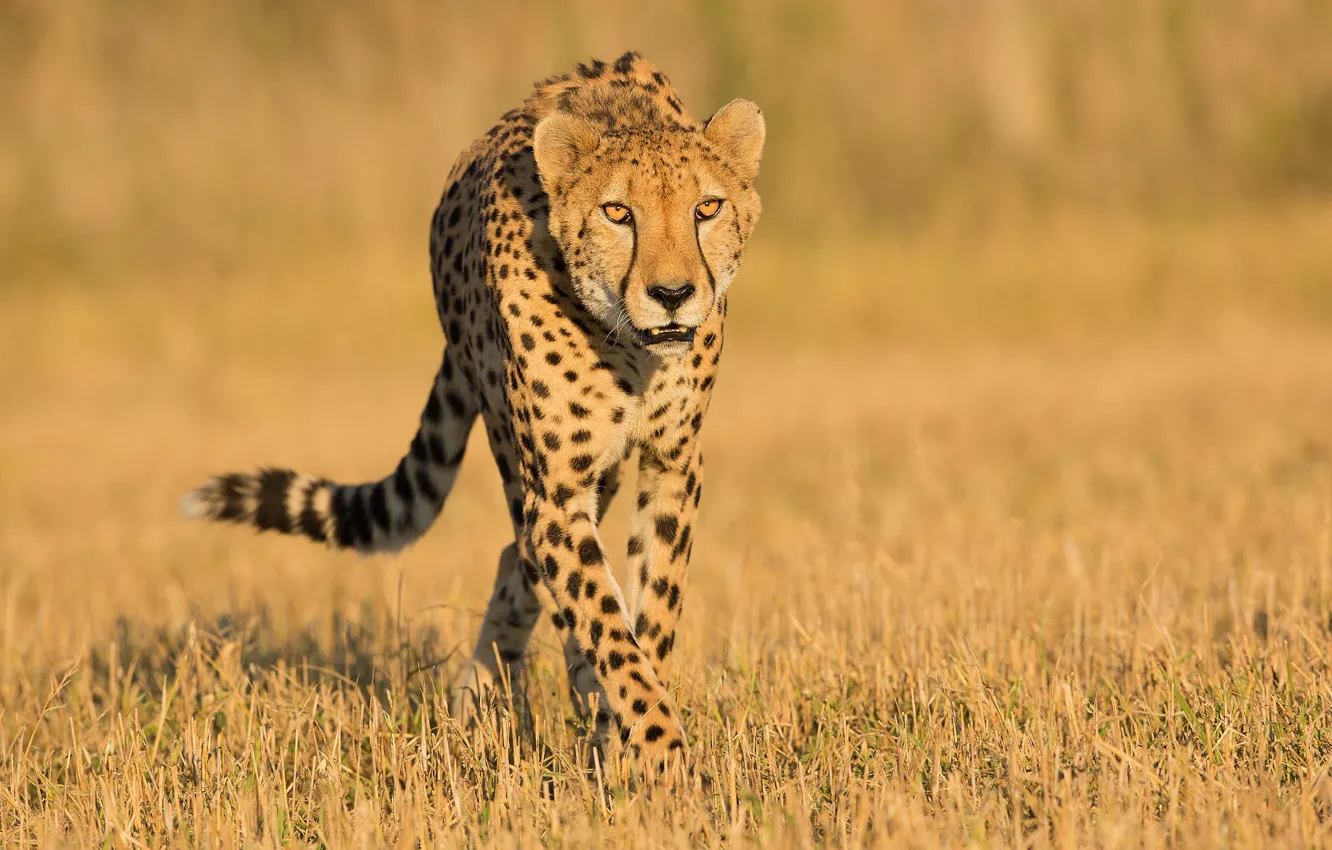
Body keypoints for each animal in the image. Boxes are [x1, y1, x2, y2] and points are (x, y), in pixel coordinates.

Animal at [181, 51, 764, 777]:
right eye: (617, 213)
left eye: (706, 208)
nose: (674, 293)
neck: (628, 346)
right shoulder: (555, 487)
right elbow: (603, 621)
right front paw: (656, 751)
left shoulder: (673, 463)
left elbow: (649, 610)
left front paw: (636, 740)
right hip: (518, 454)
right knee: (528, 562)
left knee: (519, 565)